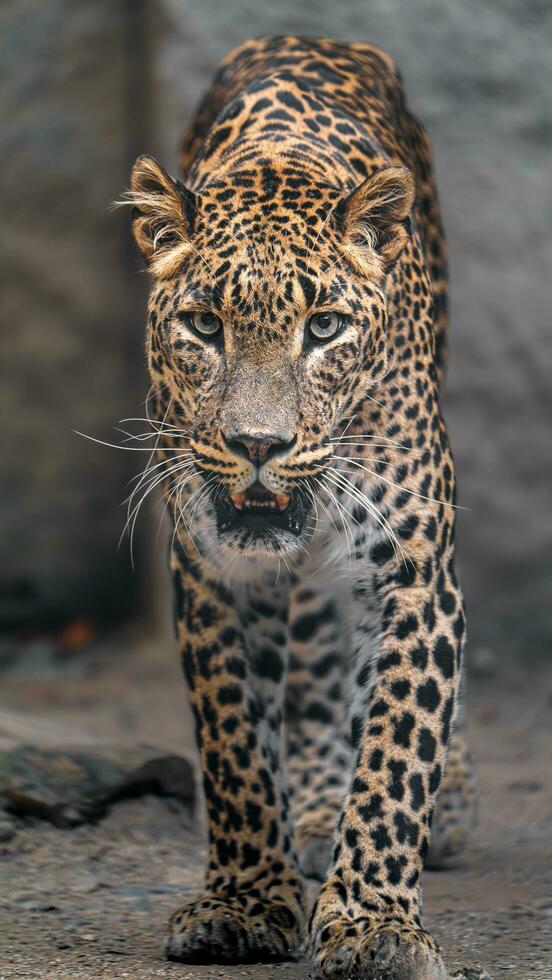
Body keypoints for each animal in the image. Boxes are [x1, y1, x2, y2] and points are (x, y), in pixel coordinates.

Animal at [124, 34, 474, 976]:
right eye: (203, 326)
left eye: (323, 328)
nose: (258, 445)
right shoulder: (211, 570)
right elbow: (236, 746)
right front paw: (243, 903)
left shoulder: (416, 574)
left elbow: (398, 747)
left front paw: (376, 923)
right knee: (314, 664)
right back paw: (315, 811)